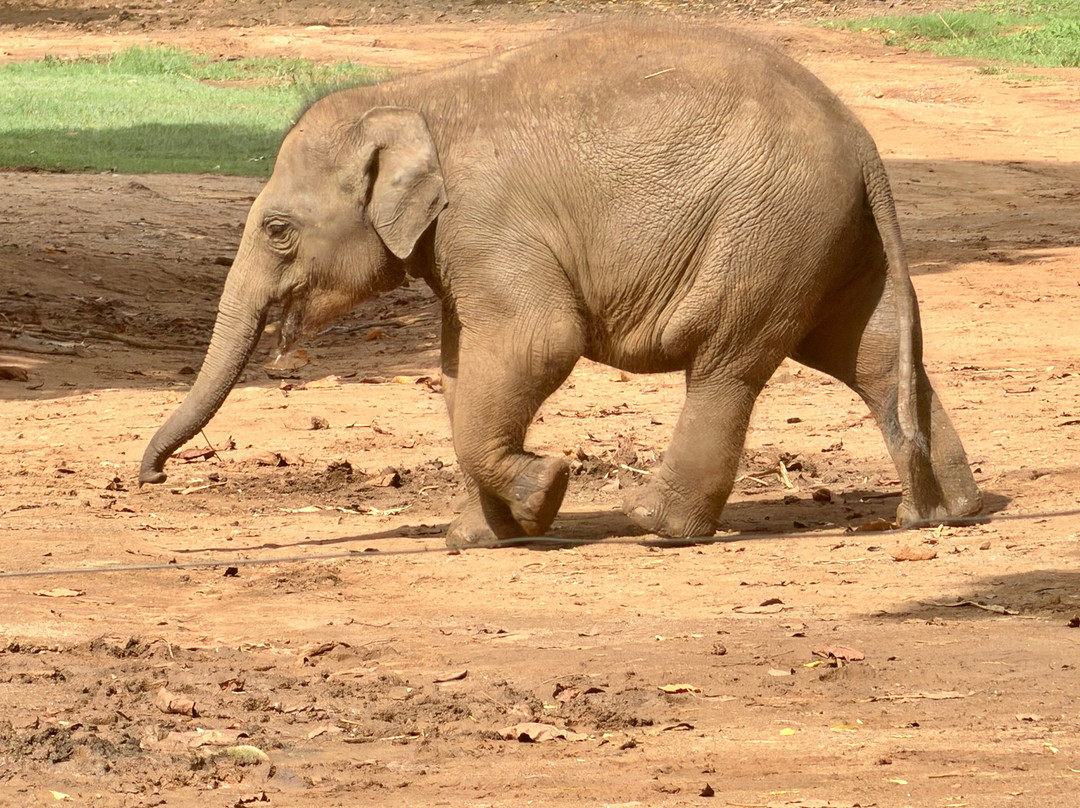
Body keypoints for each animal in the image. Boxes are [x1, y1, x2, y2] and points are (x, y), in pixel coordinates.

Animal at [140, 20, 982, 545]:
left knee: (727, 363)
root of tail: (863, 139)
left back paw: (654, 525)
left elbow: (537, 342)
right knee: (869, 354)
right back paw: (944, 514)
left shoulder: (486, 223)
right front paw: (477, 536)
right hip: (827, 237)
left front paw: (545, 488)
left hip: (767, 228)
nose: (150, 475)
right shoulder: (459, 248)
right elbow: (462, 370)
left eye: (278, 230)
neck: (415, 93)